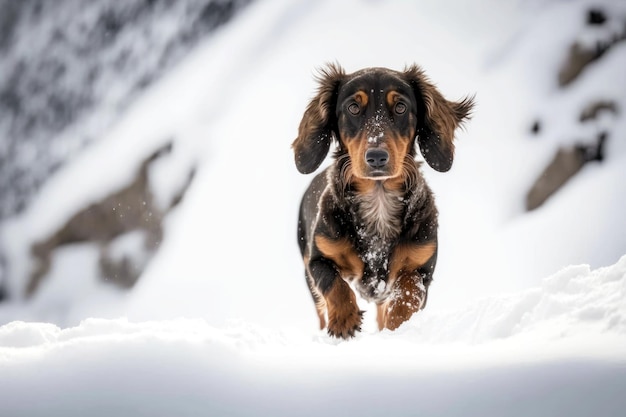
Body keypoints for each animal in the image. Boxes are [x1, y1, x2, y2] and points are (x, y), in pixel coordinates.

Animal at [292, 65, 472, 338]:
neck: (378, 199)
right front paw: (344, 320)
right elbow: (334, 284)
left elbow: (407, 294)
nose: (376, 157)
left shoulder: (421, 268)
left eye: (400, 107)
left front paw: (396, 326)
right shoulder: (317, 260)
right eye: (353, 107)